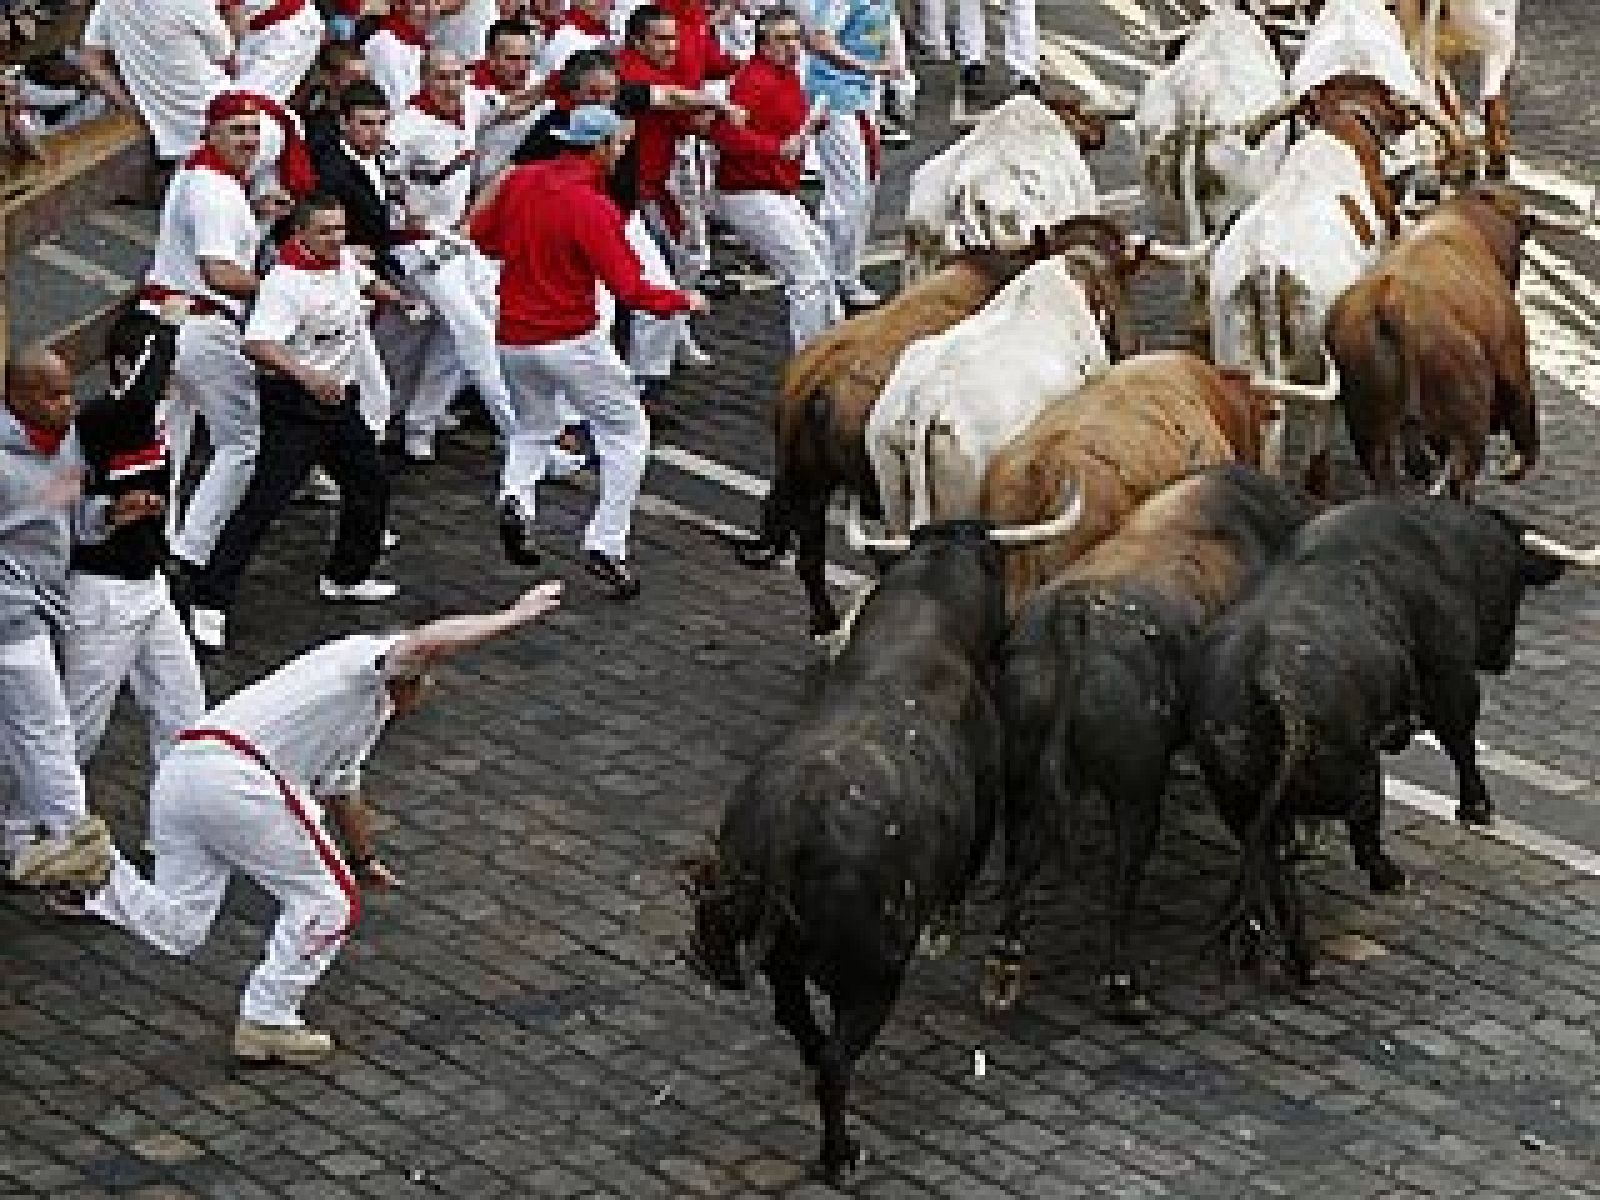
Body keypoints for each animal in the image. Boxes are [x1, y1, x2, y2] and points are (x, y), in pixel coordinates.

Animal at [1324, 185, 1587, 505]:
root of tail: (1392, 299)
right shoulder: (1514, 362)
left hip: (1368, 429)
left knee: (1386, 475)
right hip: (1468, 426)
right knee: (1460, 479)